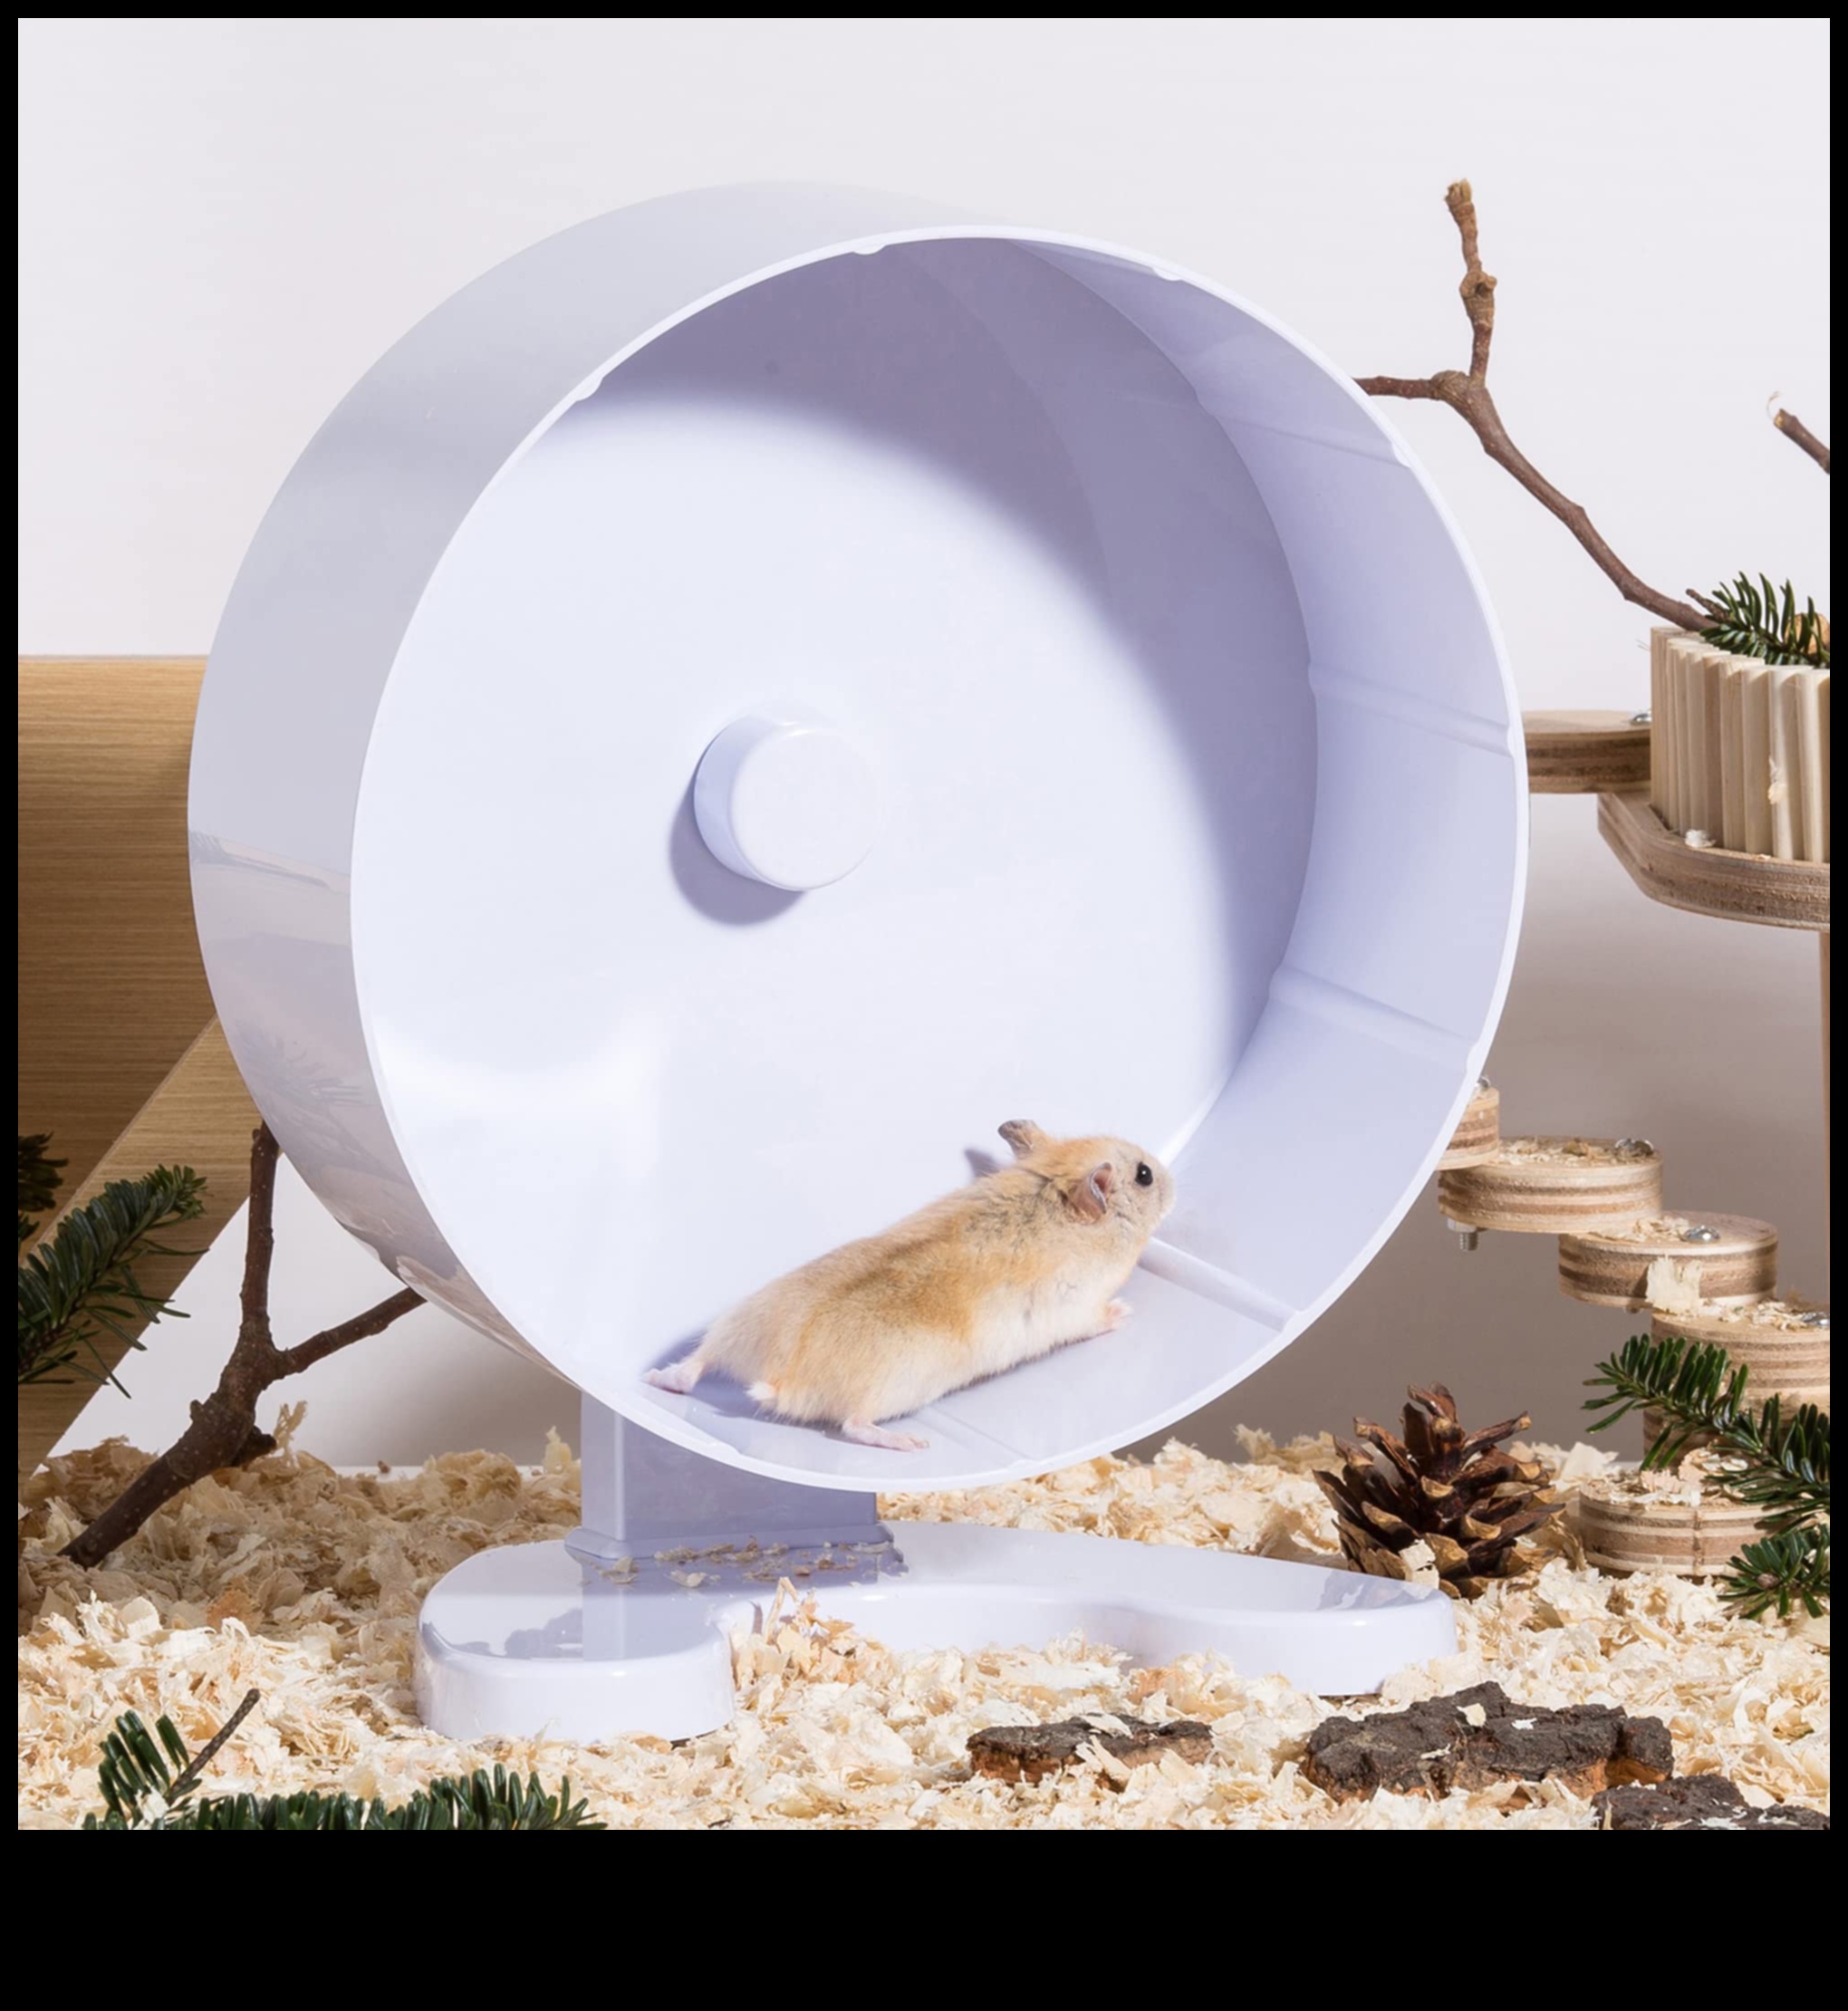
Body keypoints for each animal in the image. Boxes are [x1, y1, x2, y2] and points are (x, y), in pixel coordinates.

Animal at [645, 1119, 1176, 1450]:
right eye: (1145, 1176)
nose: (1173, 1183)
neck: (1048, 1195)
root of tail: (779, 1376)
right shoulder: (1078, 1310)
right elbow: (1099, 1319)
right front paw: (1125, 1312)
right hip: (887, 1393)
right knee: (855, 1426)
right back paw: (911, 1443)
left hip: (736, 1324)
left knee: (695, 1364)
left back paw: (656, 1378)